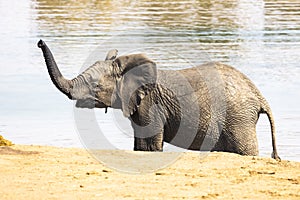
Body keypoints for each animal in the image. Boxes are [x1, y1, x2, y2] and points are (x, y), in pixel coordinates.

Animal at [38, 39, 282, 160]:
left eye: (95, 85)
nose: (40, 42)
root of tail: (259, 96)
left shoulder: (151, 106)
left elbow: (148, 145)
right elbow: (139, 144)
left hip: (238, 118)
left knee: (246, 151)